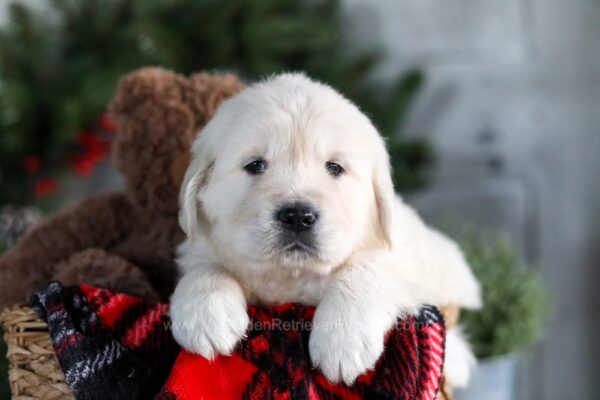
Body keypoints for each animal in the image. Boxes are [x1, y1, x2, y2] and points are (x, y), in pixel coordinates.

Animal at [171, 73, 480, 386]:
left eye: (334, 167)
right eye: (255, 165)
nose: (297, 216)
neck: (292, 276)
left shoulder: (401, 257)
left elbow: (366, 267)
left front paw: (343, 341)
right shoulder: (198, 246)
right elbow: (206, 267)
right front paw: (205, 316)